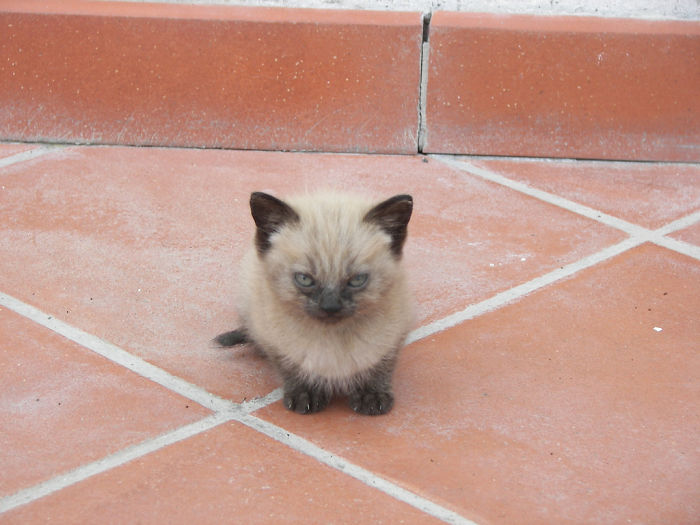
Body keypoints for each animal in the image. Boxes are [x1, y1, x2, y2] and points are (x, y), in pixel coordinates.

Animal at [216, 190, 412, 416]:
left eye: (356, 280)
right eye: (304, 279)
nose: (330, 307)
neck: (332, 337)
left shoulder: (393, 335)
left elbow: (378, 366)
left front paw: (370, 397)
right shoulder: (274, 340)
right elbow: (292, 367)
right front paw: (306, 395)